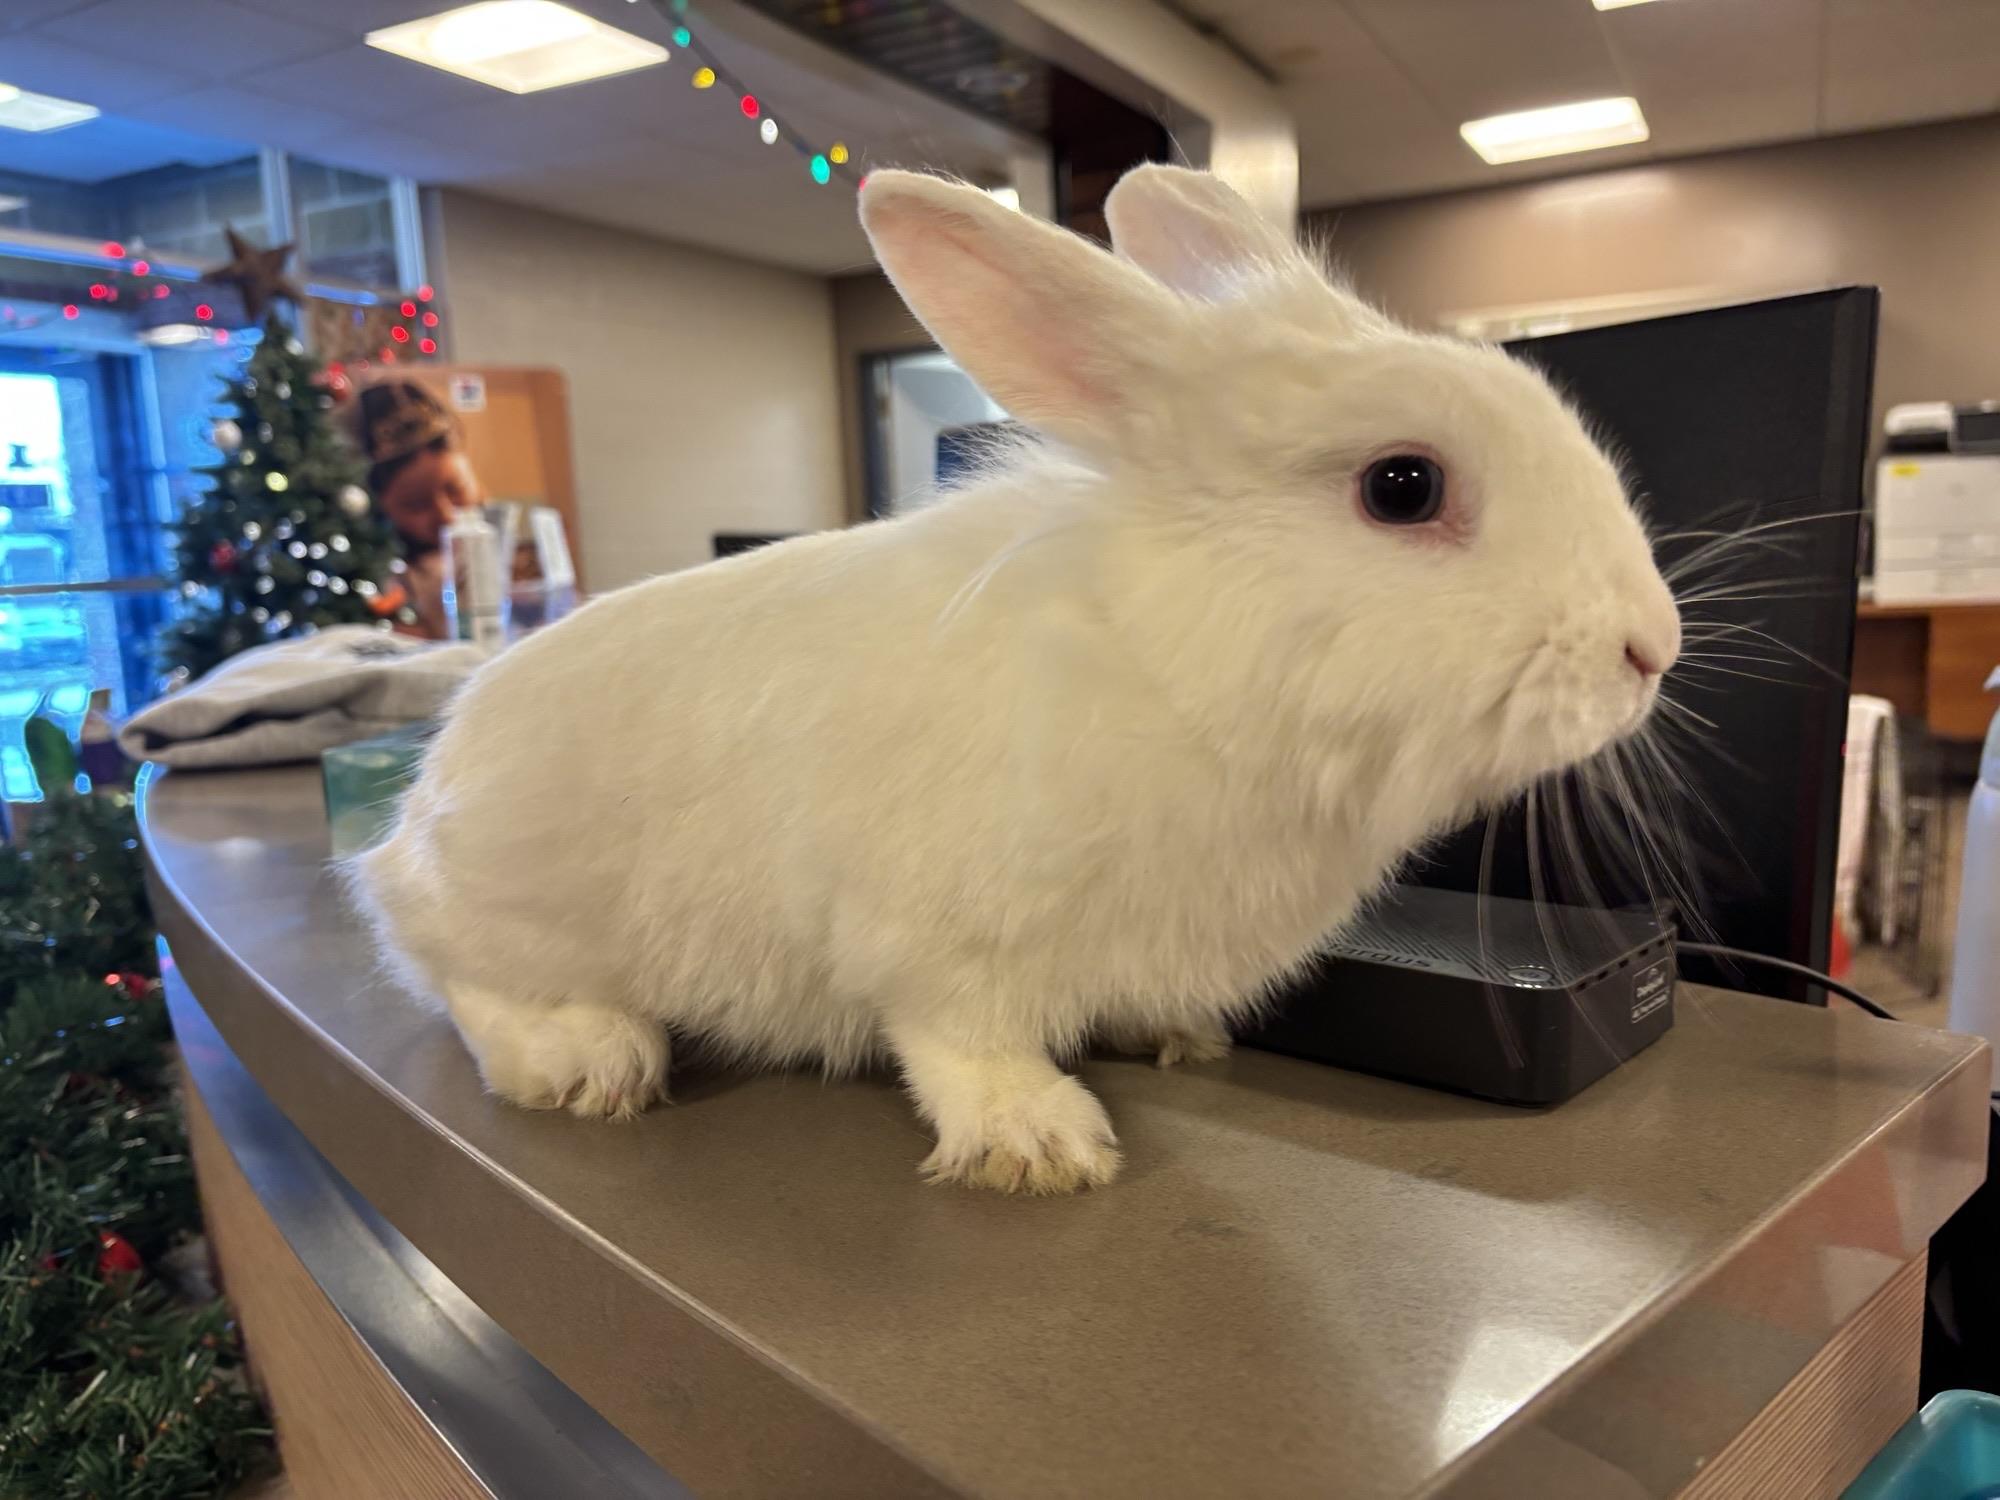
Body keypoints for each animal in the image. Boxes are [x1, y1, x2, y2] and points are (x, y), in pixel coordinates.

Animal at [353, 163, 1680, 1194]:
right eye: (1402, 487)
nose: (1650, 648)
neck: (1166, 664)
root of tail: (403, 826)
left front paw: (1177, 1039)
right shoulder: (940, 937)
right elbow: (959, 1042)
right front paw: (1036, 1146)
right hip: (509, 912)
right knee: (457, 986)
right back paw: (590, 1061)